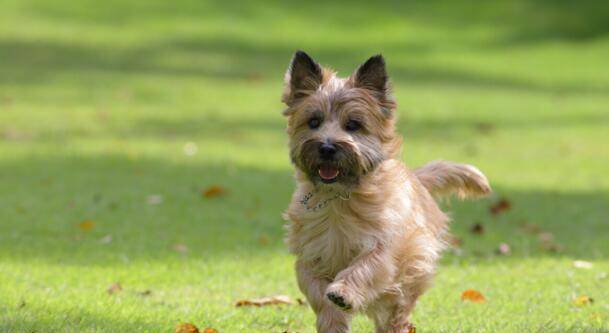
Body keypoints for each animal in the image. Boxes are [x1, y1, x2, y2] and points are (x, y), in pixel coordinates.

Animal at [282, 50, 490, 332]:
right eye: (314, 122)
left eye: (353, 125)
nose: (326, 147)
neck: (340, 198)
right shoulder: (309, 255)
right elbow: (316, 291)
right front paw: (332, 319)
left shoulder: (384, 245)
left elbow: (365, 267)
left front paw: (343, 292)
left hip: (413, 266)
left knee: (398, 308)